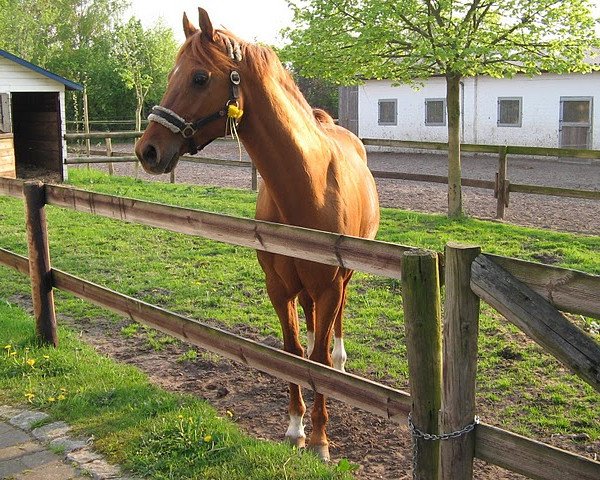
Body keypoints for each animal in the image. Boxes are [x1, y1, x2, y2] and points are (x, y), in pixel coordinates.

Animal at [136, 6, 380, 458]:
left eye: (199, 77)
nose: (148, 150)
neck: (307, 187)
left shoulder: (328, 286)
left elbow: (318, 358)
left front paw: (320, 439)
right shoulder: (278, 288)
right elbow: (293, 352)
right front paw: (296, 428)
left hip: (344, 278)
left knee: (334, 328)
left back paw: (340, 363)